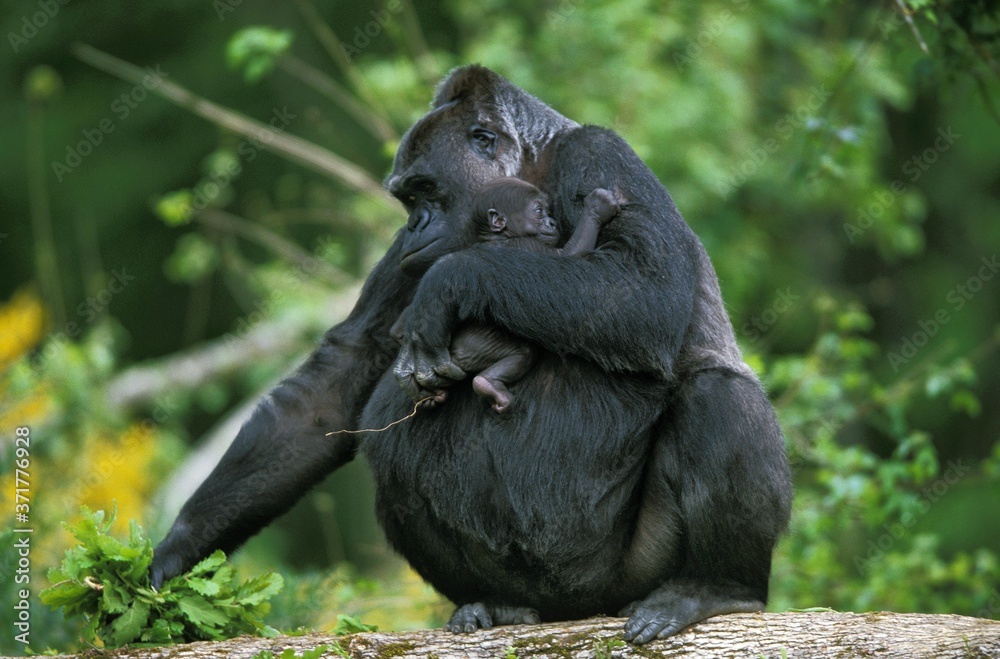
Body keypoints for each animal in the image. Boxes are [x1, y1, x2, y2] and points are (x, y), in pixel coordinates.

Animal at [396, 177, 616, 412]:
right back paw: (490, 385)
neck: (497, 235)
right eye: (539, 211)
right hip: (478, 347)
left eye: (548, 211)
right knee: (522, 353)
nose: (552, 223)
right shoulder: (528, 243)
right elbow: (568, 254)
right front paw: (596, 208)